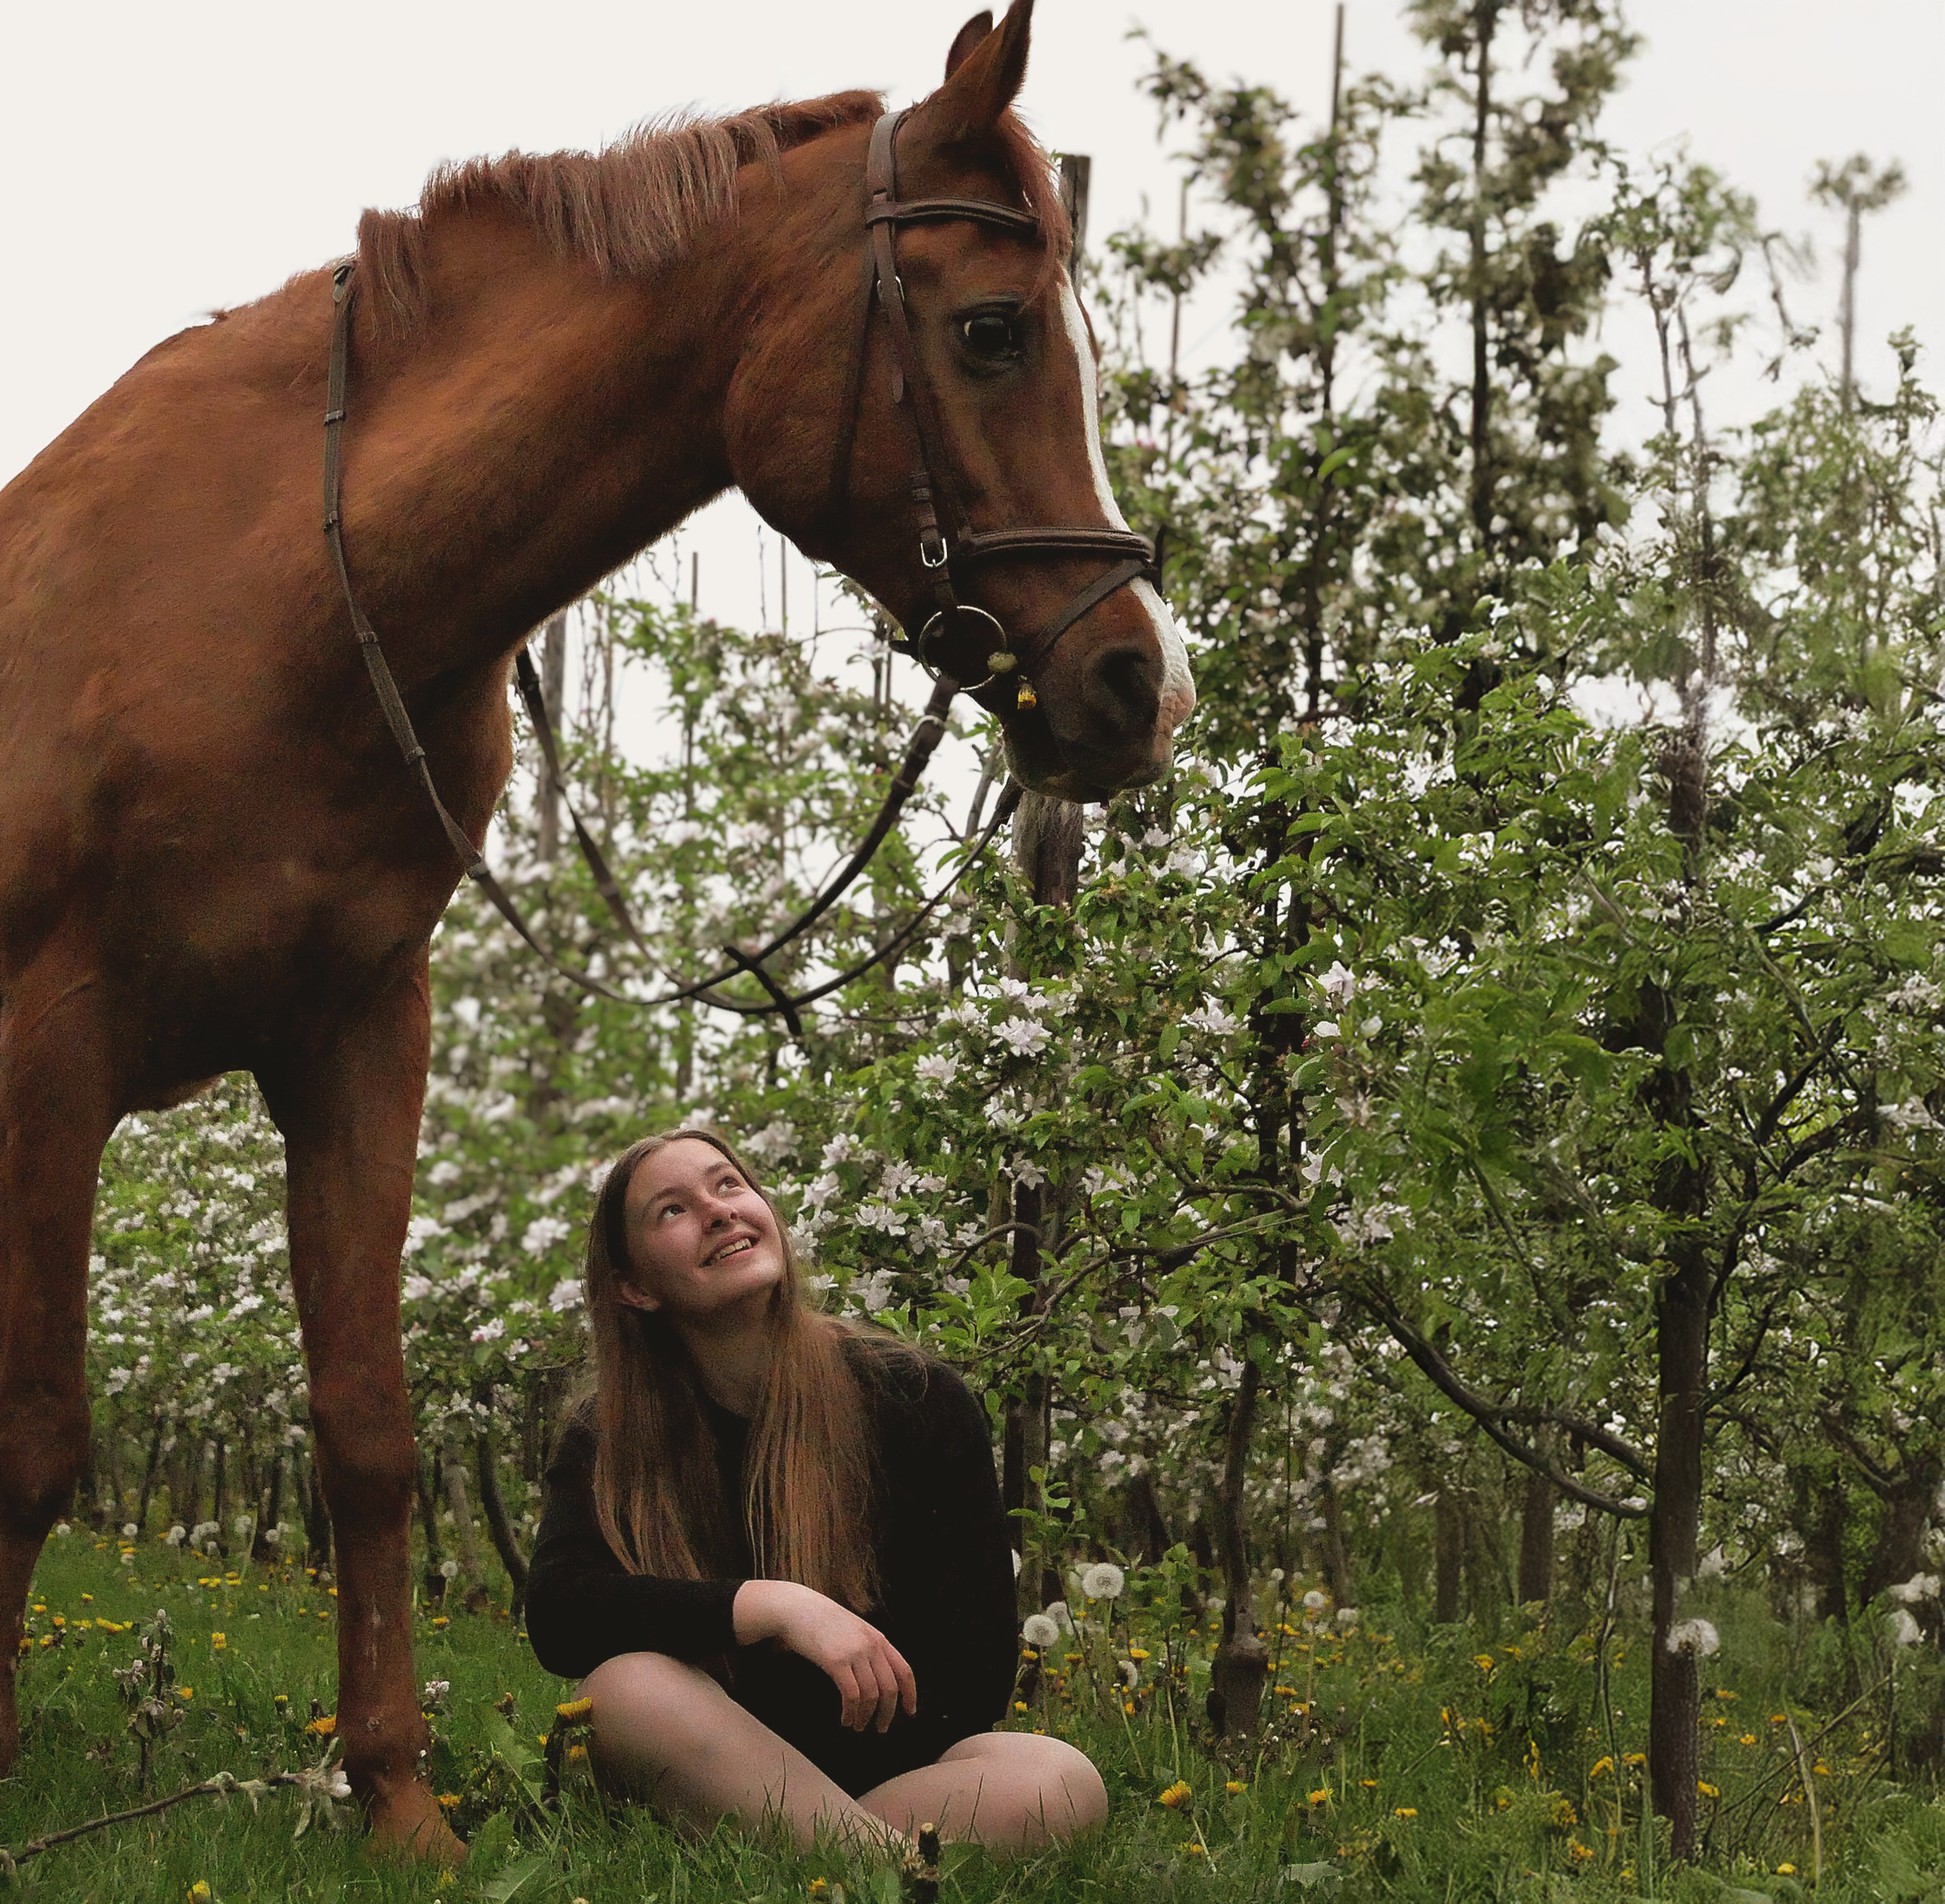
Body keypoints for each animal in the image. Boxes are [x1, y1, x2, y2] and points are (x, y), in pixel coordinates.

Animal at [0, 0, 1192, 1857]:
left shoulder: (357, 1034)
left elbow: (368, 1435)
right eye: (991, 331)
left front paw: (398, 1804)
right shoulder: (51, 1050)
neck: (270, 593)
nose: (1137, 687)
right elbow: (38, 1441)